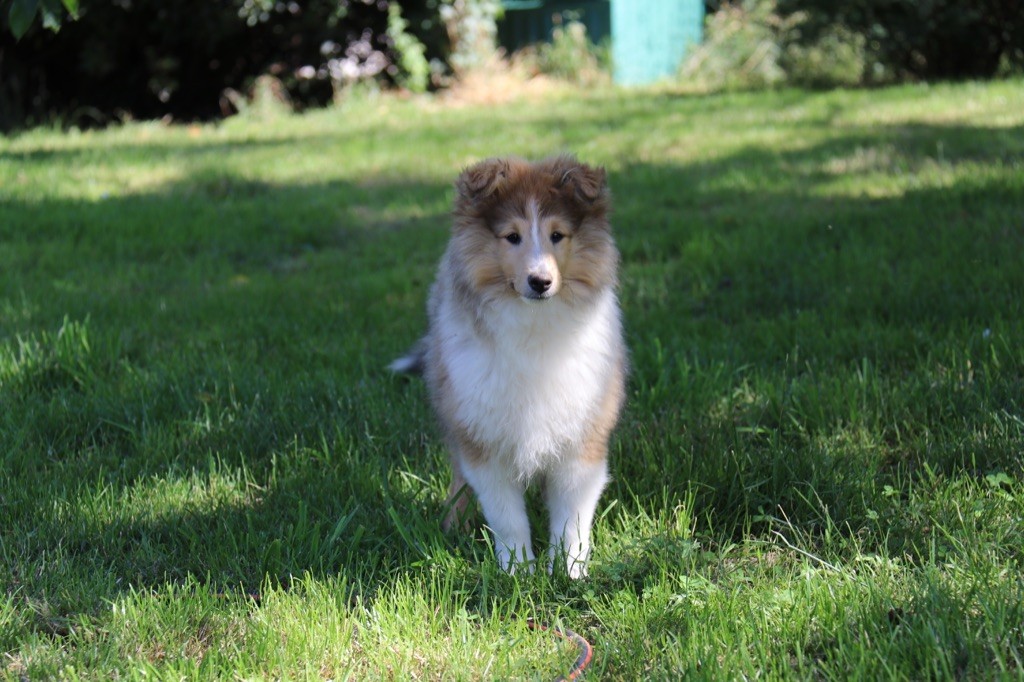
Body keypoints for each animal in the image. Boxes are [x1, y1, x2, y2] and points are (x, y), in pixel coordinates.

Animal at [391, 153, 626, 573]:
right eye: (511, 236)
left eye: (557, 235)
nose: (540, 282)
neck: (534, 325)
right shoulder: (483, 438)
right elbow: (506, 516)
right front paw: (518, 571)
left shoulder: (583, 436)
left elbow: (572, 516)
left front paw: (569, 572)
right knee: (458, 476)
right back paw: (454, 523)